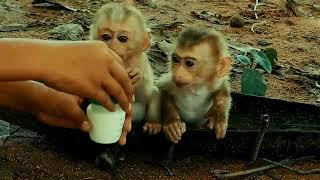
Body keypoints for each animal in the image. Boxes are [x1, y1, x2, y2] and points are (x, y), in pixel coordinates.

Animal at [89, 2, 160, 135]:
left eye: (122, 39)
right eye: (106, 37)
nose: (112, 46)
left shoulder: (139, 61)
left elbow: (144, 96)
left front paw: (136, 76)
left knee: (153, 93)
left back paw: (153, 123)